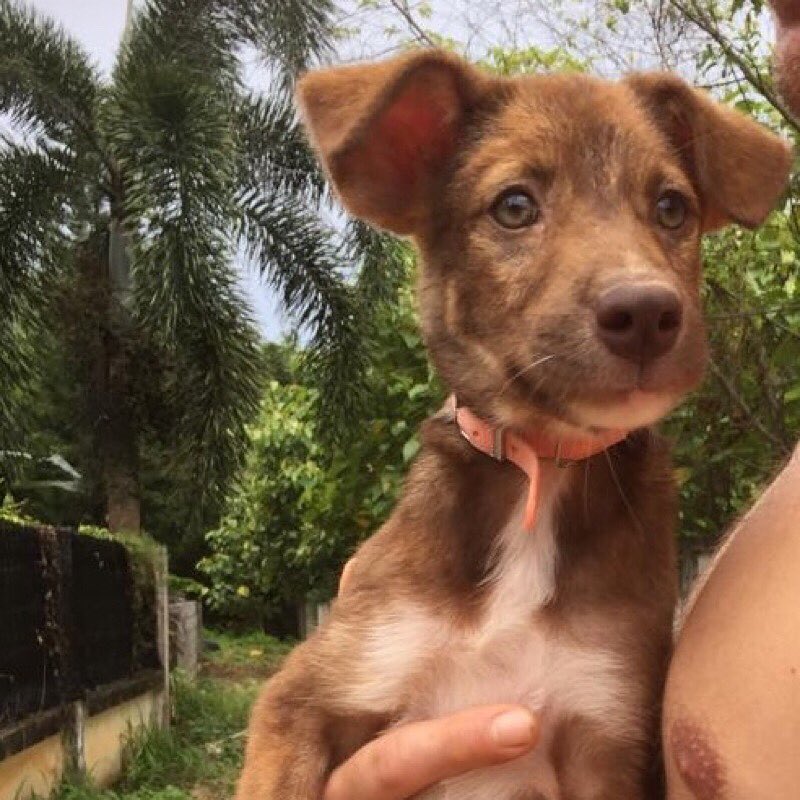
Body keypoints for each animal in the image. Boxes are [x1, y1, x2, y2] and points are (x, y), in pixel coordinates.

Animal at [234, 51, 792, 800]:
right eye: (515, 207)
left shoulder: (605, 735)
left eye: (672, 208)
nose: (648, 314)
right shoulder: (308, 696)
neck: (543, 464)